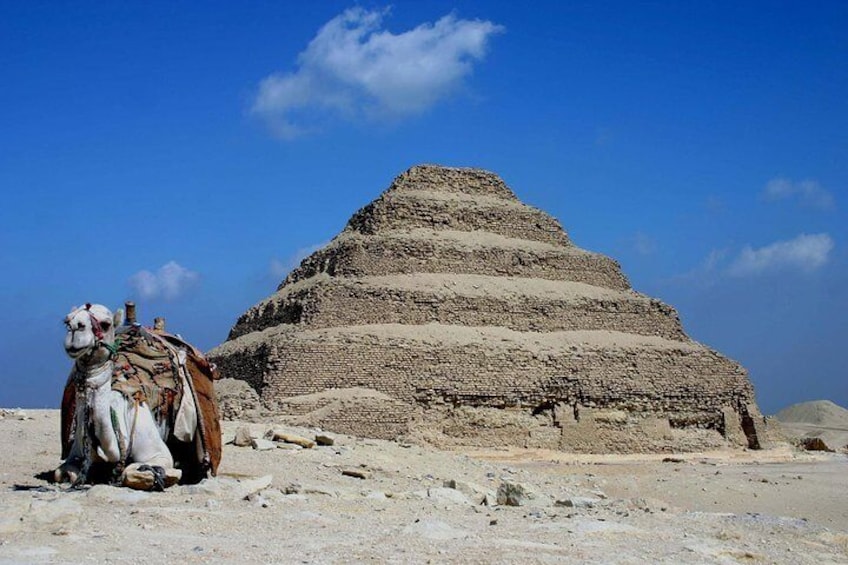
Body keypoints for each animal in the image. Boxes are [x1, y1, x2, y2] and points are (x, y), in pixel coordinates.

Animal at [54, 303, 221, 490]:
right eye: (66, 321)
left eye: (105, 324)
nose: (75, 328)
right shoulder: (74, 455)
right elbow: (61, 473)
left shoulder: (158, 453)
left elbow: (132, 472)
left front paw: (169, 476)